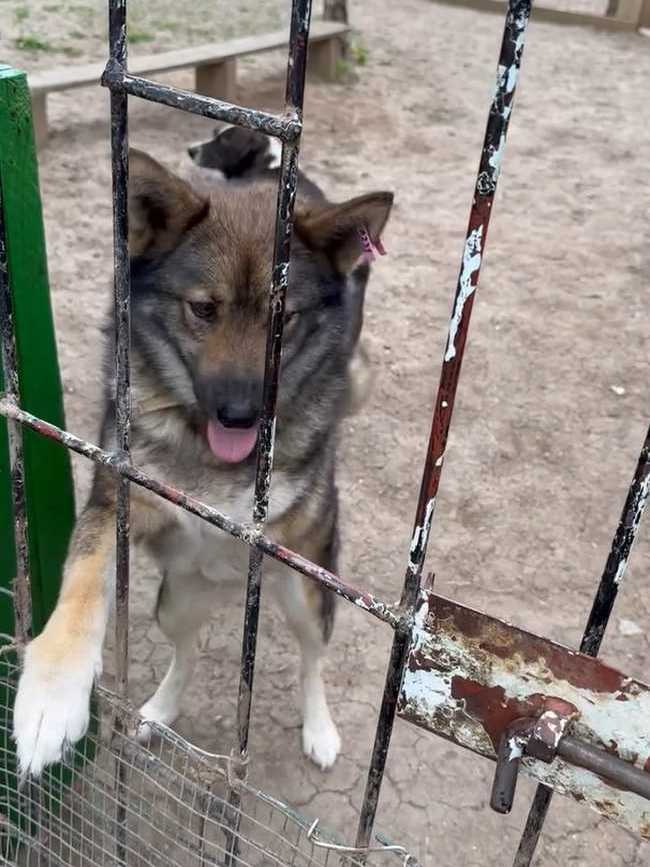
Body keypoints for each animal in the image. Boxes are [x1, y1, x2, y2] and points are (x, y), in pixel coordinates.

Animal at [13, 132, 393, 778]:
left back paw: (319, 730)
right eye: (203, 309)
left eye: (285, 321)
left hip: (307, 599)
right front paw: (51, 696)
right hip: (177, 601)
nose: (240, 415)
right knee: (185, 652)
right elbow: (84, 581)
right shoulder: (117, 501)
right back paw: (158, 711)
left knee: (311, 660)